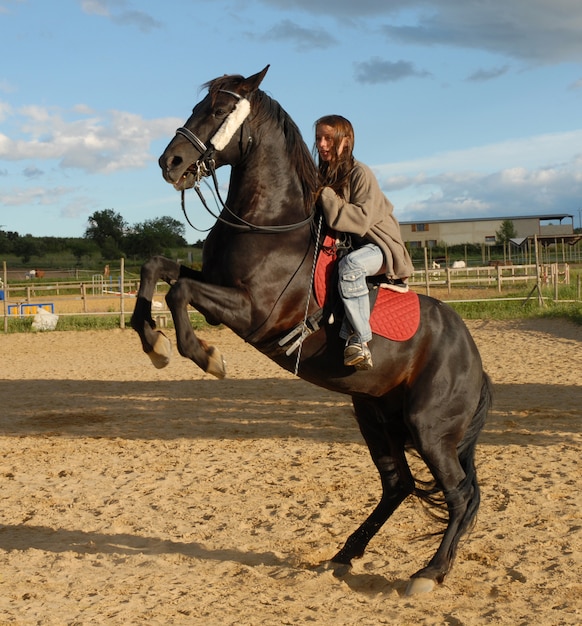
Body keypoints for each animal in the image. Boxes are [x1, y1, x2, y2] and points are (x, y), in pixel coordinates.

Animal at [132, 66, 492, 592]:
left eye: (219, 109)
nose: (169, 161)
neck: (267, 224)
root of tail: (475, 362)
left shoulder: (250, 312)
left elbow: (178, 293)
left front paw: (205, 356)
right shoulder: (213, 285)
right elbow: (156, 268)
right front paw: (152, 341)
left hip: (428, 428)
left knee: (460, 495)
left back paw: (429, 572)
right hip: (375, 417)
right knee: (399, 485)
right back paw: (346, 553)